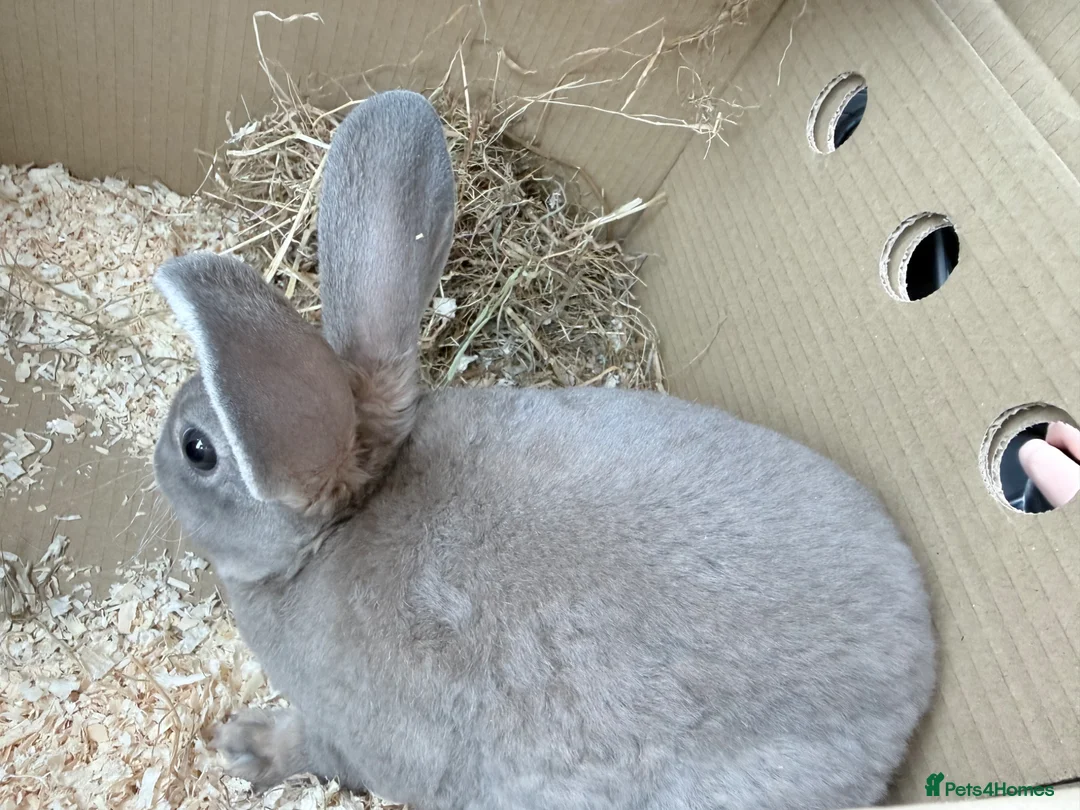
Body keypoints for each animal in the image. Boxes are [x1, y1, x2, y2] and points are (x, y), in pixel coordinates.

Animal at [152, 89, 935, 810]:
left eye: (197, 448)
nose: (158, 451)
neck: (335, 532)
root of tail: (911, 692)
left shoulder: (358, 738)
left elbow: (316, 748)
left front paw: (244, 745)